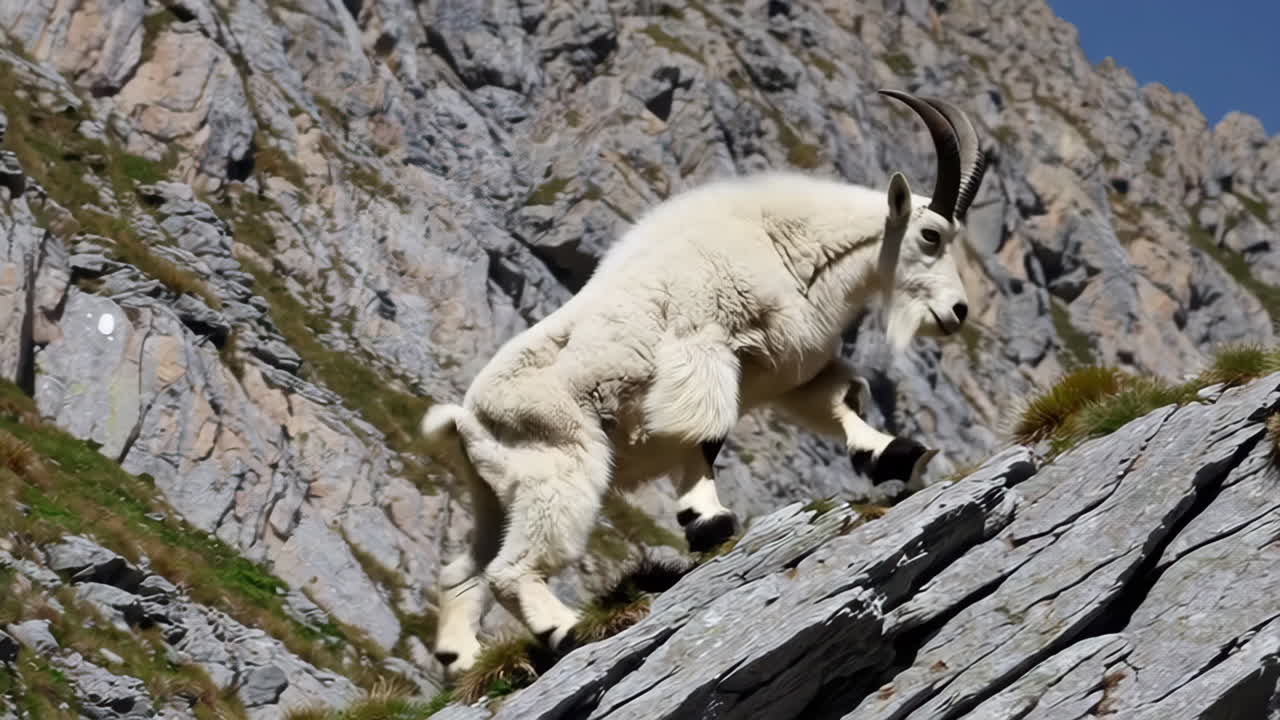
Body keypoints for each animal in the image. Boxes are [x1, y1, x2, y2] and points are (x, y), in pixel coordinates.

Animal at [421, 90, 987, 675]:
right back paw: (566, 629)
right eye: (930, 235)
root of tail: (466, 419)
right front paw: (706, 520)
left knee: (463, 572)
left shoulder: (785, 372)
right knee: (510, 568)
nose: (957, 312)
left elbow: (839, 406)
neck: (784, 245)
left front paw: (898, 455)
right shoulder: (703, 348)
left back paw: (462, 659)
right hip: (559, 466)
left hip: (496, 495)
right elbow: (707, 432)